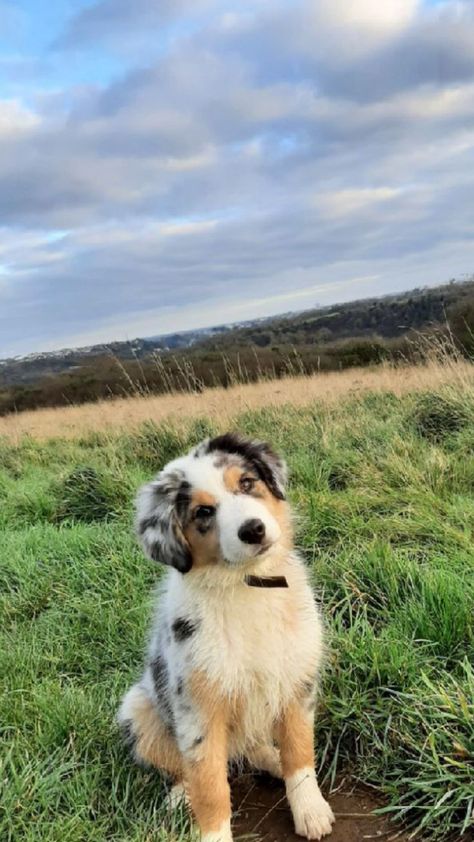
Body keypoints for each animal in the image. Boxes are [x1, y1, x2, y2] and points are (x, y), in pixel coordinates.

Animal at [117, 434, 336, 840]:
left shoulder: (296, 682)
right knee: (182, 768)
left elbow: (300, 752)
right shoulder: (198, 712)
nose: (254, 530)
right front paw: (213, 831)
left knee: (254, 748)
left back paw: (273, 759)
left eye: (247, 483)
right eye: (203, 512)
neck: (247, 584)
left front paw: (310, 810)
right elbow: (210, 786)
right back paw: (180, 796)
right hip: (136, 709)